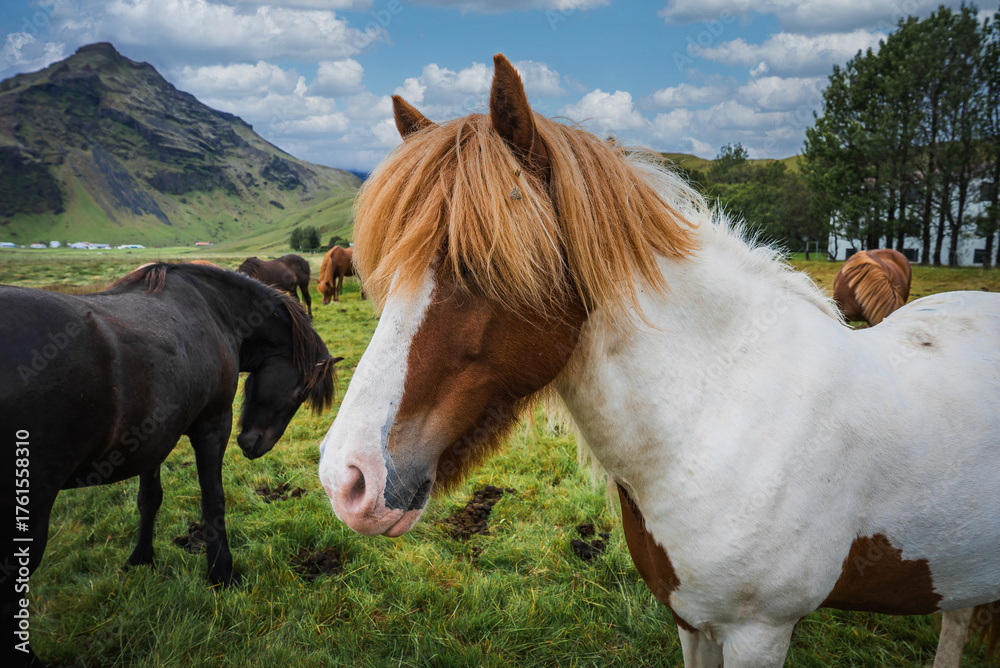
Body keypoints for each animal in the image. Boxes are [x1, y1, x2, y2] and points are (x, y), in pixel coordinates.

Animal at [1, 263, 340, 667]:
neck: (217, 311)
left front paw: (141, 559)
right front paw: (222, 572)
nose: (254, 446)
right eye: (299, 391)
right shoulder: (212, 426)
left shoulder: (151, 439)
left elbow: (149, 500)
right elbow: (213, 501)